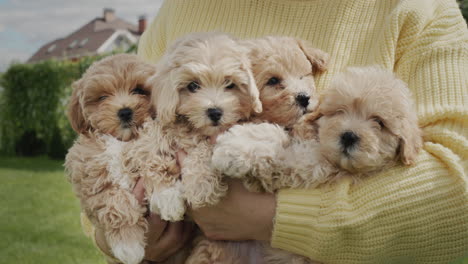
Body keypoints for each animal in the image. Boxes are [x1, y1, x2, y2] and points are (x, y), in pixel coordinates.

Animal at [63, 54, 157, 264]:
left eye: (138, 90)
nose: (125, 111)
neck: (121, 141)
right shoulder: (91, 175)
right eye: (103, 97)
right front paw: (128, 245)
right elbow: (115, 201)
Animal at [210, 66, 422, 264]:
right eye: (339, 111)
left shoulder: (311, 170)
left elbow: (283, 154)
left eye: (379, 122)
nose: (348, 136)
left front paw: (233, 147)